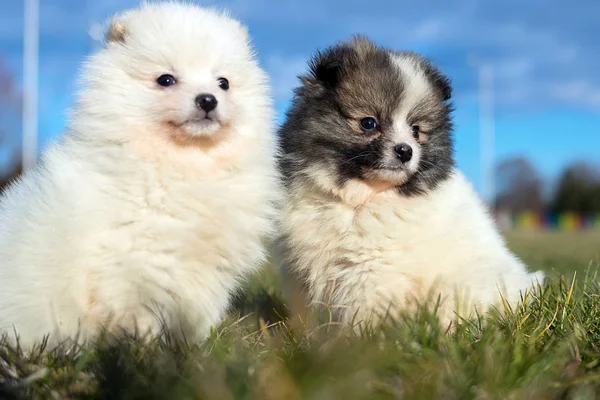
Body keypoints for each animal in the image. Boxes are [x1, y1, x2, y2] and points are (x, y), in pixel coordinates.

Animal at [0, 2, 278, 346]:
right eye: (166, 79)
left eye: (223, 82)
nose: (207, 99)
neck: (185, 162)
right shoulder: (132, 265)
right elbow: (137, 314)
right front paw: (138, 349)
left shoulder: (208, 271)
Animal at [276, 35, 544, 328]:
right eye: (368, 123)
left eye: (416, 131)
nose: (405, 151)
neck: (359, 198)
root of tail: (526, 285)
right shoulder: (301, 269)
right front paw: (302, 335)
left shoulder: (371, 268)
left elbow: (363, 310)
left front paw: (361, 338)